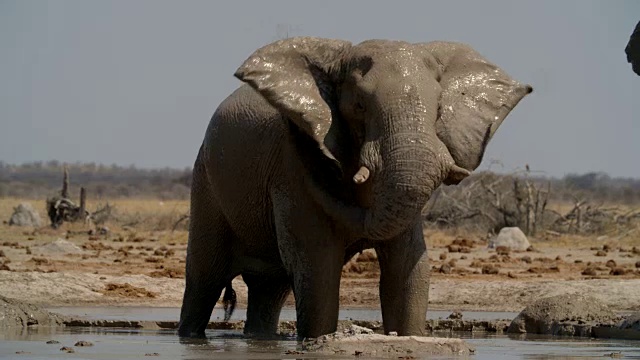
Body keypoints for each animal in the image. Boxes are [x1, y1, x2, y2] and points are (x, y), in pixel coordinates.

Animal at [178, 36, 532, 340]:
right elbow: (319, 265)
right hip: (205, 180)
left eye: (439, 110)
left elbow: (408, 267)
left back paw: (260, 340)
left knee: (270, 289)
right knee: (205, 279)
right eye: (360, 106)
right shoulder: (292, 171)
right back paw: (190, 336)